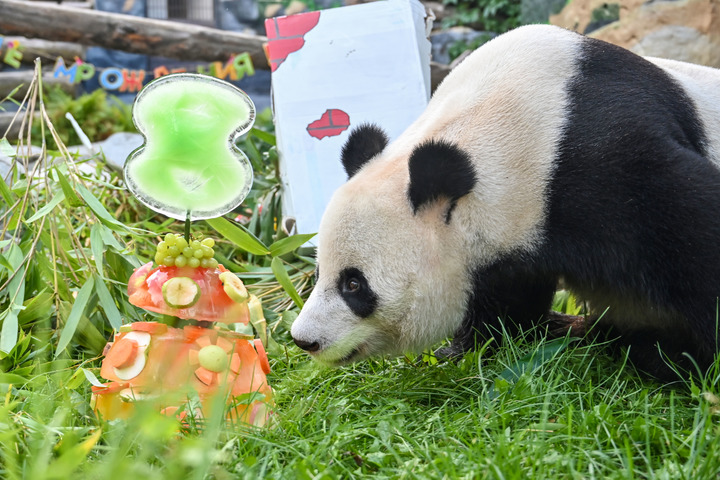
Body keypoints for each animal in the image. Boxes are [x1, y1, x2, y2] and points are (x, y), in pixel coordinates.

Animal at [290, 23, 720, 382]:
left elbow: (695, 233)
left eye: (354, 284)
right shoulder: (512, 239)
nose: (304, 339)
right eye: (319, 271)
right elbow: (506, 302)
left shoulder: (605, 163)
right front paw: (472, 349)